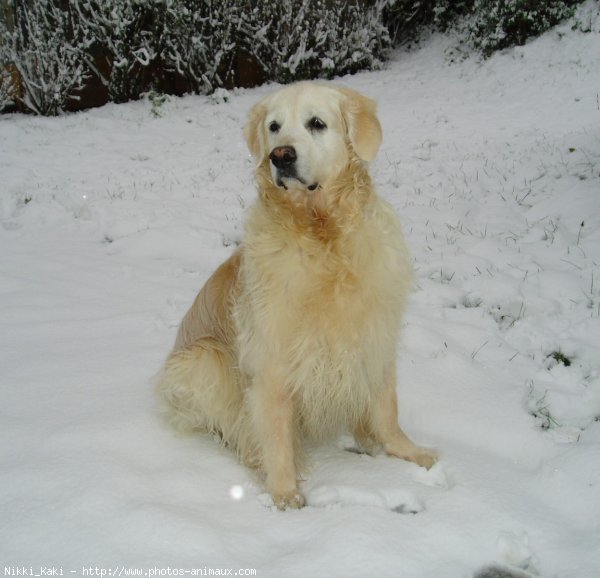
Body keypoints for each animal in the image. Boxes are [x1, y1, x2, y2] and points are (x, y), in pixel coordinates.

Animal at [157, 82, 436, 508]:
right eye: (274, 127)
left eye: (316, 123)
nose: (280, 156)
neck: (323, 234)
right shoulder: (272, 357)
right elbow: (274, 431)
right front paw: (285, 494)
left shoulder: (374, 338)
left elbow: (387, 409)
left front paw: (405, 452)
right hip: (203, 358)